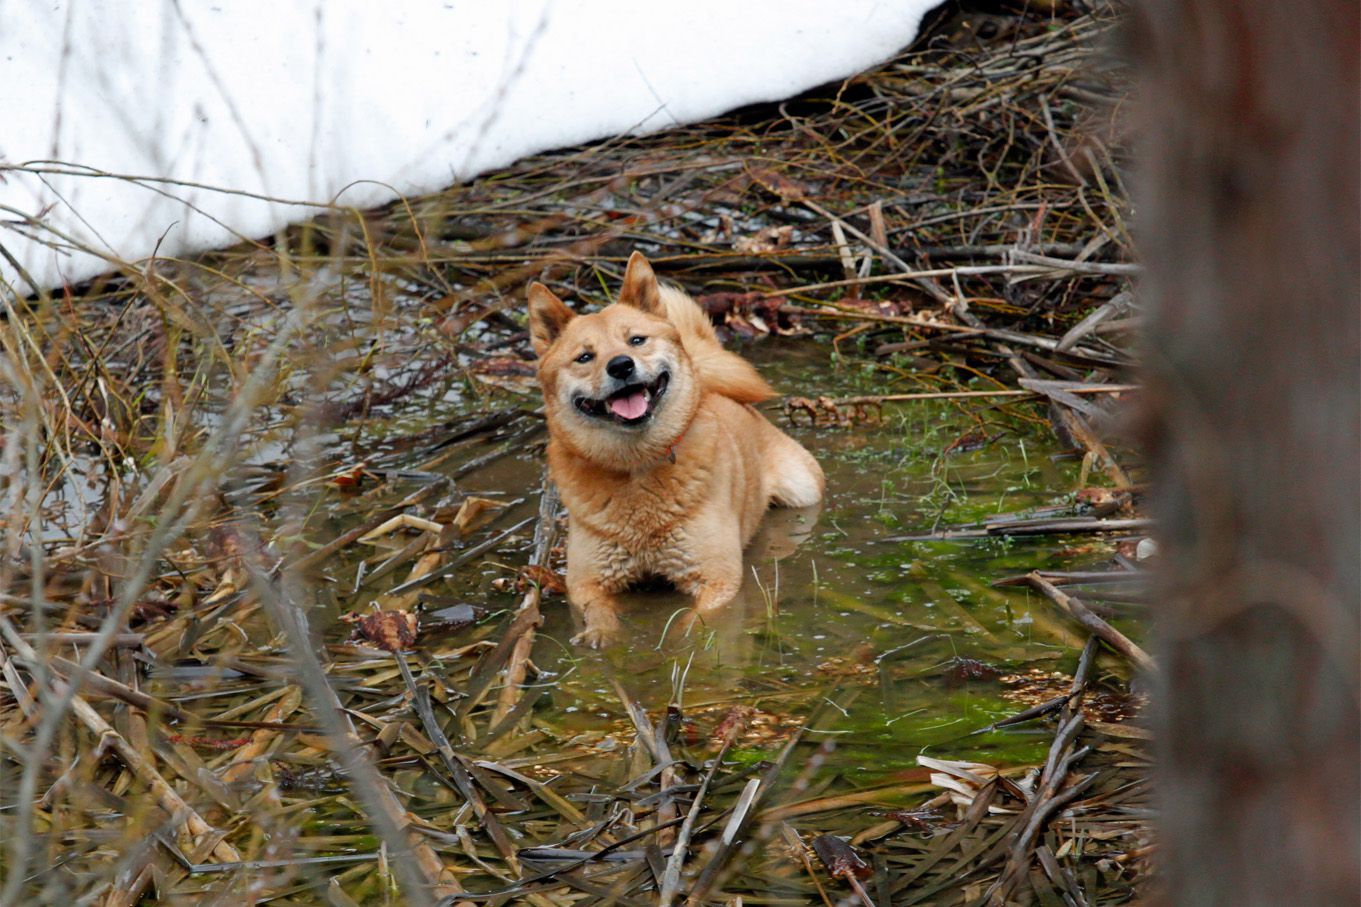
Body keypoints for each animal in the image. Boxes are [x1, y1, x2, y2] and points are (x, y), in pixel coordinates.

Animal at [525, 247, 822, 642]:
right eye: (584, 357)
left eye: (636, 340)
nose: (621, 366)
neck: (636, 469)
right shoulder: (587, 583)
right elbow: (597, 614)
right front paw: (601, 638)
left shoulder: (718, 580)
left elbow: (698, 622)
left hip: (803, 488)